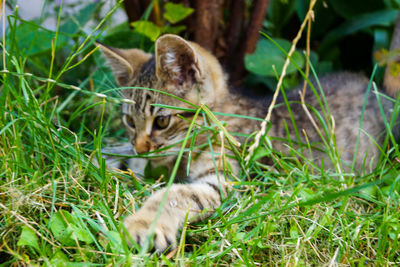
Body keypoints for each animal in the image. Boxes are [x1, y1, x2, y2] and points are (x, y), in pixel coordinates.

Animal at [96, 34, 396, 253]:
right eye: (129, 121)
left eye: (161, 121)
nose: (141, 148)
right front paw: (107, 155)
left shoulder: (224, 181)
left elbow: (175, 194)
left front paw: (144, 225)